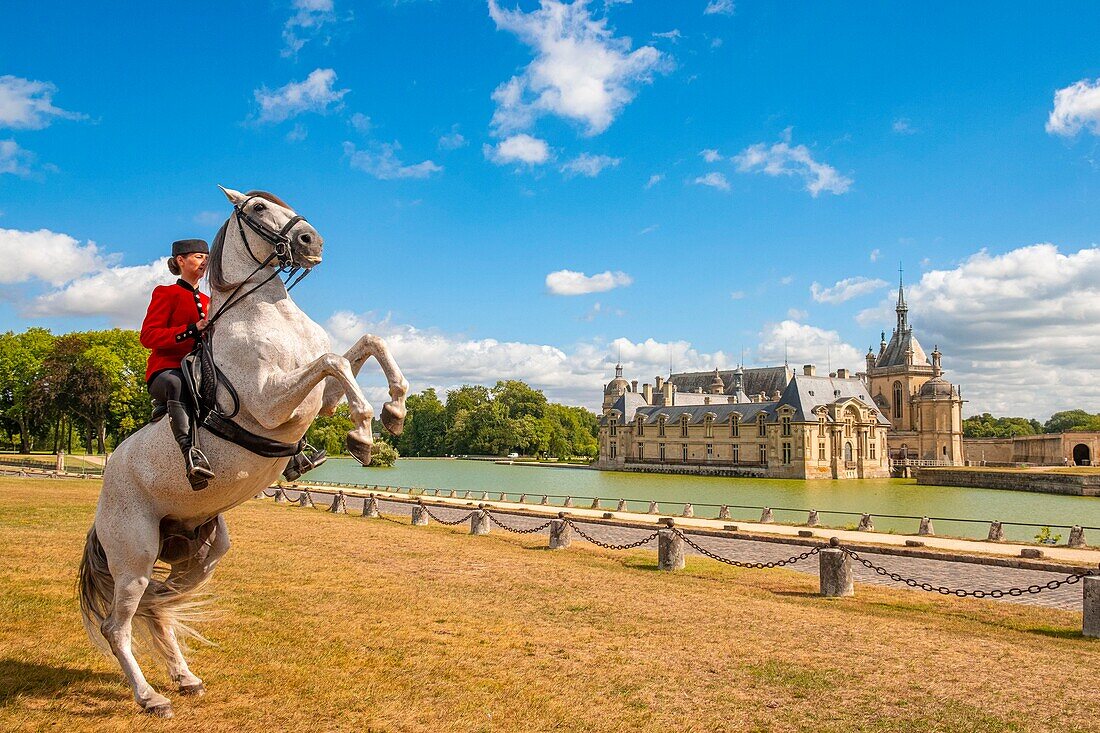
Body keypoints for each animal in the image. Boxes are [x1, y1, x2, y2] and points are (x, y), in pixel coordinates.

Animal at [78, 186, 409, 717]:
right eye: (256, 208)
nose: (312, 240)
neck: (266, 311)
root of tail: (104, 497)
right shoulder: (274, 405)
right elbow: (334, 360)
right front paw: (363, 434)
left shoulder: (318, 402)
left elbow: (365, 344)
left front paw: (394, 410)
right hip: (134, 554)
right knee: (118, 626)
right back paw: (150, 697)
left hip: (202, 552)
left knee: (157, 606)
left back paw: (186, 678)